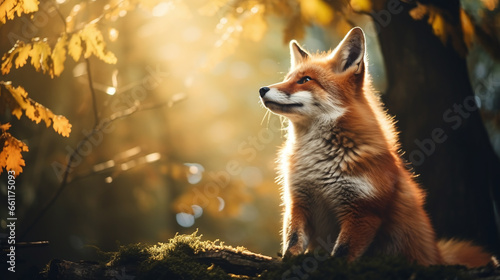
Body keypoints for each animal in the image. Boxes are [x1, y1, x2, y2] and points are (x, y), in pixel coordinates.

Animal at [260, 27, 494, 268]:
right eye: (287, 79)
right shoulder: (298, 202)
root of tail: (438, 256)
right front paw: (288, 264)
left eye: (305, 80)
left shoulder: (363, 211)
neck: (318, 163)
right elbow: (293, 242)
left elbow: (342, 254)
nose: (262, 89)